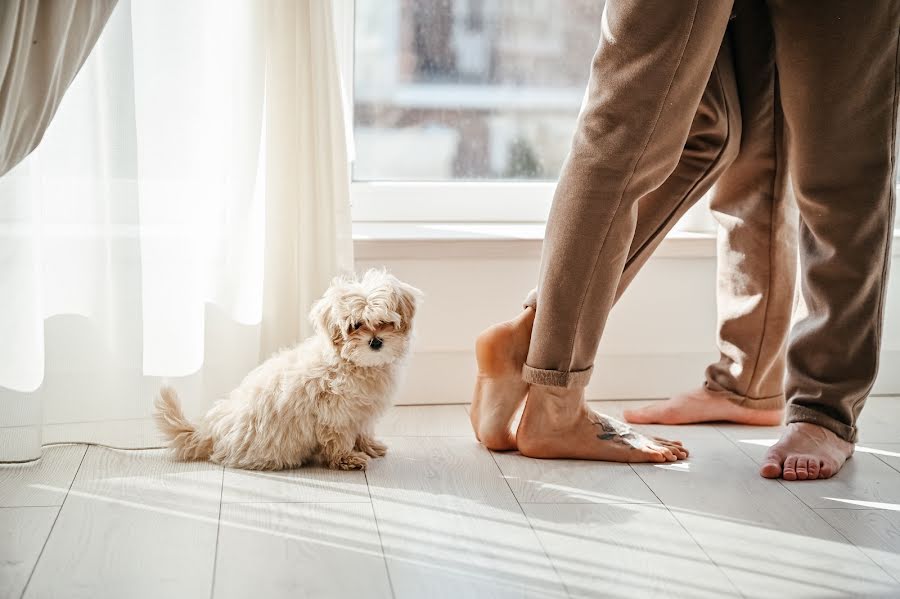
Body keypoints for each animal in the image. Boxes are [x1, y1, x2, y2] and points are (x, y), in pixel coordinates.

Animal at [155, 270, 422, 472]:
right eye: (355, 325)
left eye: (385, 322)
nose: (376, 342)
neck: (354, 364)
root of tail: (212, 432)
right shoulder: (335, 413)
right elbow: (338, 437)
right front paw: (346, 458)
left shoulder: (361, 412)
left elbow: (363, 430)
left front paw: (368, 446)